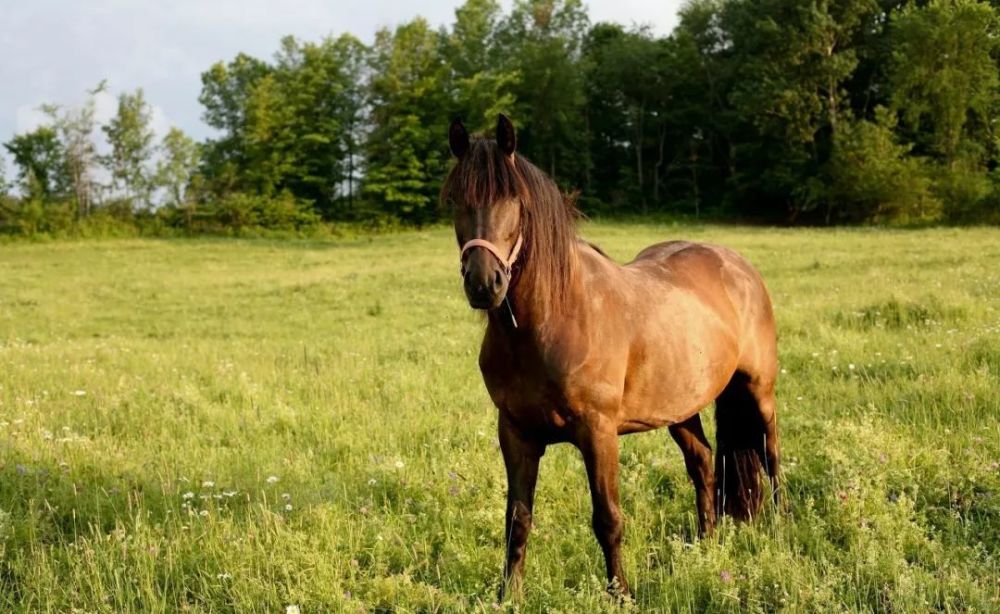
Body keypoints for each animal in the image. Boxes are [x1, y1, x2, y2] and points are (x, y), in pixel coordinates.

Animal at [444, 115, 780, 600]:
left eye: (514, 200)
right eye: (455, 198)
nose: (484, 283)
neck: (553, 319)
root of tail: (738, 266)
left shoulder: (598, 432)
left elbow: (607, 518)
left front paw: (619, 592)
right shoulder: (515, 433)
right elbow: (517, 519)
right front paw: (508, 595)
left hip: (759, 391)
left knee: (771, 457)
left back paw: (783, 527)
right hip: (681, 408)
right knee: (702, 465)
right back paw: (707, 544)